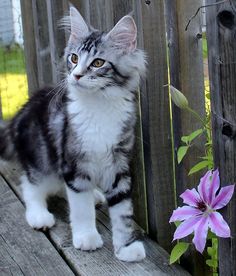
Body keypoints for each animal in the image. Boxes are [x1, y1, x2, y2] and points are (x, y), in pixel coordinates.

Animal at [0, 7, 147, 262]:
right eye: (74, 58)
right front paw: (86, 237)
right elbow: (80, 207)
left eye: (98, 63)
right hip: (41, 157)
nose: (76, 75)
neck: (99, 106)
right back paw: (39, 215)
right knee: (31, 184)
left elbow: (123, 211)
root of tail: (20, 113)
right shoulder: (73, 162)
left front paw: (125, 247)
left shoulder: (119, 165)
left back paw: (95, 195)